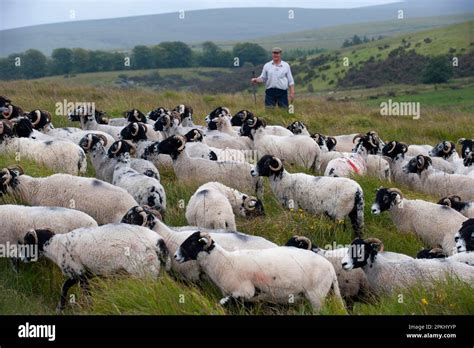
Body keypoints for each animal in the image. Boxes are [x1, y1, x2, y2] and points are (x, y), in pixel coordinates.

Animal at [21, 224, 172, 312]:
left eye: (27, 243)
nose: (21, 258)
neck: (55, 246)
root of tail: (158, 243)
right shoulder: (85, 273)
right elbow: (68, 287)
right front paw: (61, 308)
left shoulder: (78, 271)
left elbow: (72, 289)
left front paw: (86, 308)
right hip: (156, 271)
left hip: (144, 272)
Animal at [176, 230, 342, 312]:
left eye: (192, 242)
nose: (176, 256)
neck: (223, 262)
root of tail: (330, 268)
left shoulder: (244, 292)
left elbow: (223, 302)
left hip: (316, 296)